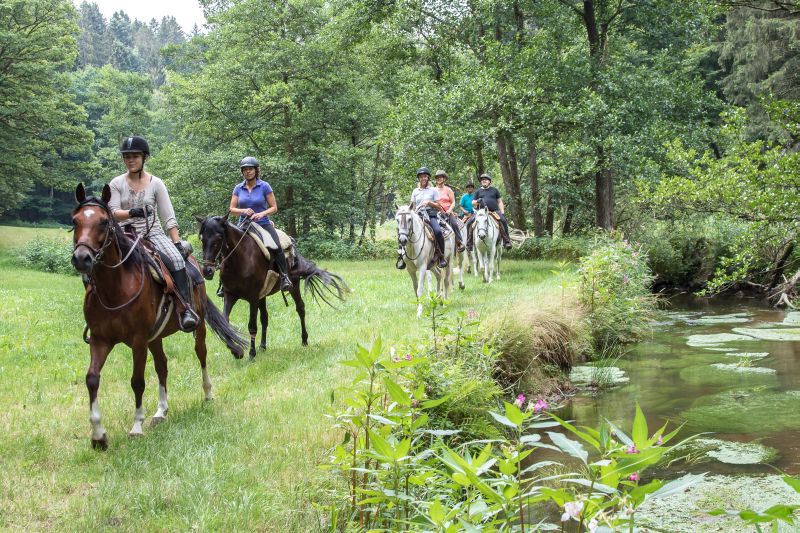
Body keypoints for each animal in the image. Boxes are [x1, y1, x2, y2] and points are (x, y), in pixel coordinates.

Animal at [70, 183, 248, 448]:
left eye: (103, 222)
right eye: (75, 220)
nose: (82, 258)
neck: (115, 288)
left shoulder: (138, 341)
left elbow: (137, 381)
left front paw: (136, 426)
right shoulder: (101, 340)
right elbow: (92, 378)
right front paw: (98, 435)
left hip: (196, 327)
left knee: (201, 355)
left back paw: (207, 394)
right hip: (155, 337)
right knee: (162, 366)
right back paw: (160, 411)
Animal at [196, 213, 346, 358]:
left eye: (219, 238)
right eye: (202, 239)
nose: (207, 271)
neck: (239, 259)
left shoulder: (253, 298)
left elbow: (252, 326)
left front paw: (251, 354)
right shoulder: (230, 295)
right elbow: (225, 322)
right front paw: (236, 351)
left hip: (293, 286)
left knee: (300, 308)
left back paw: (304, 340)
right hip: (263, 296)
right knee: (265, 318)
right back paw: (263, 346)